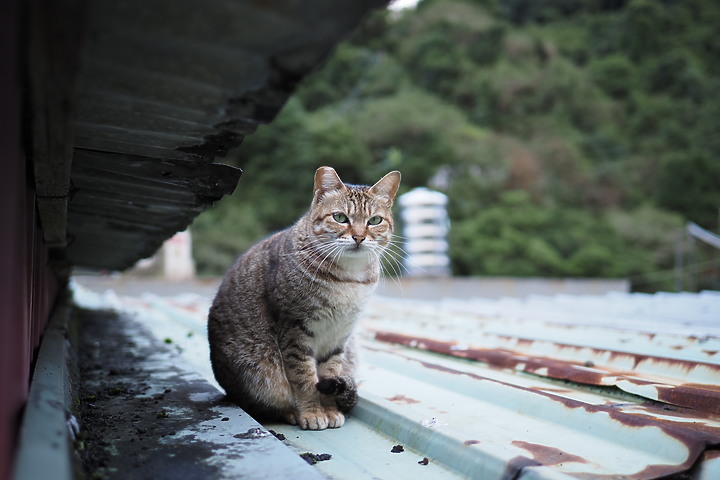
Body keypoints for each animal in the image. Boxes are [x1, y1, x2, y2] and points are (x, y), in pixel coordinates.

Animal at [207, 166, 400, 432]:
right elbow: (305, 379)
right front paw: (312, 413)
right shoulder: (294, 330)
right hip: (258, 378)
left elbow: (330, 373)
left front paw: (330, 410)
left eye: (374, 221)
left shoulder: (340, 334)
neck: (348, 279)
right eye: (340, 217)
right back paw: (291, 413)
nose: (359, 237)